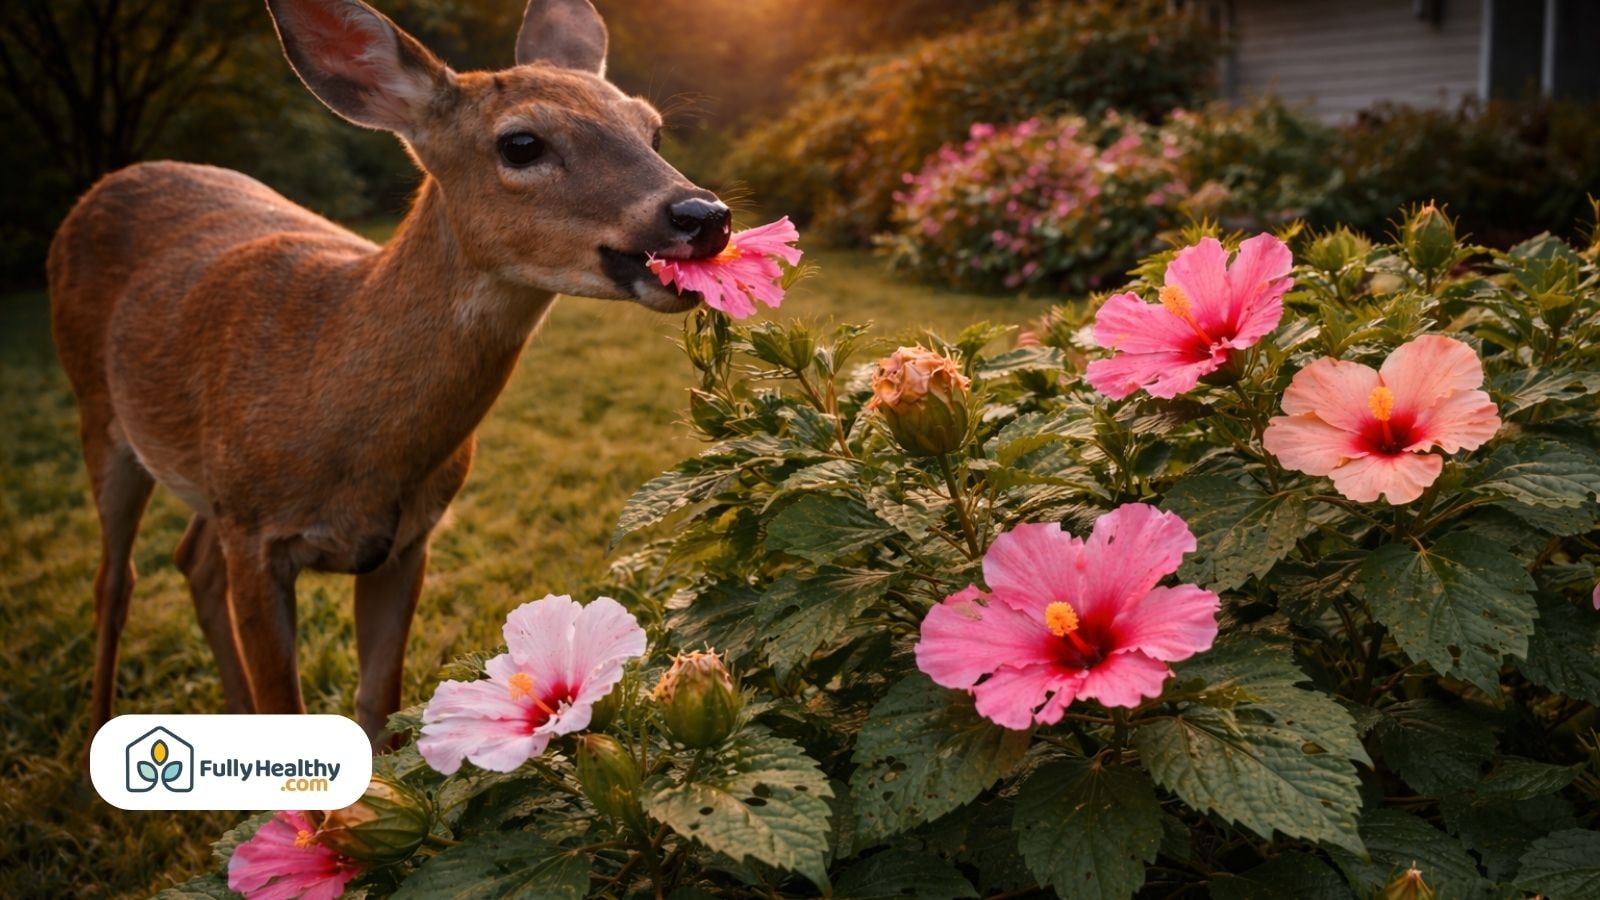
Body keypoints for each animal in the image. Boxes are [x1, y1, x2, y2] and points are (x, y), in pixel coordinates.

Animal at [48, 0, 731, 748]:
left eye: (652, 128)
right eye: (521, 143)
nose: (703, 215)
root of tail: (103, 186)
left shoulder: (406, 541)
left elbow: (379, 704)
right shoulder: (255, 535)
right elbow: (290, 709)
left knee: (191, 561)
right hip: (100, 413)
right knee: (114, 580)